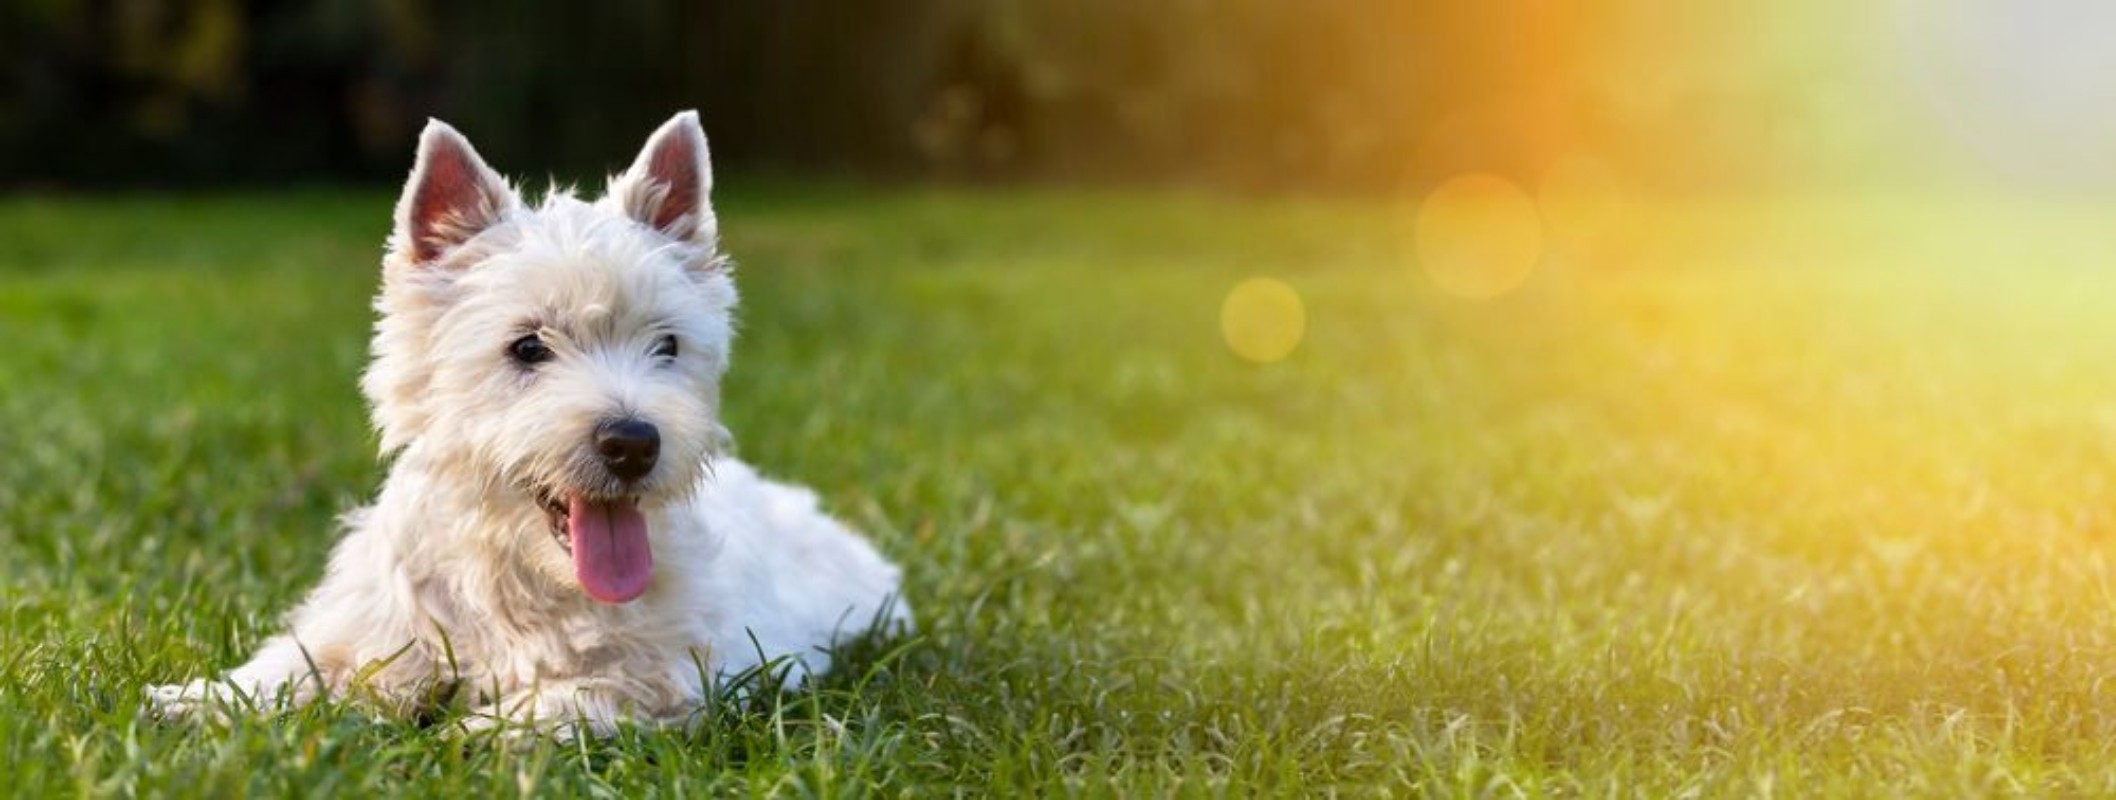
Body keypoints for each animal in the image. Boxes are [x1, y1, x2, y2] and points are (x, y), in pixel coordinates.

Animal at [149, 112, 909, 736]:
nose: (632, 443)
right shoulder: (374, 630)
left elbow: (566, 697)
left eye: (666, 345)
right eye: (527, 347)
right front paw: (185, 701)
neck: (521, 573)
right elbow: (293, 667)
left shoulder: (676, 676)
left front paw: (464, 734)